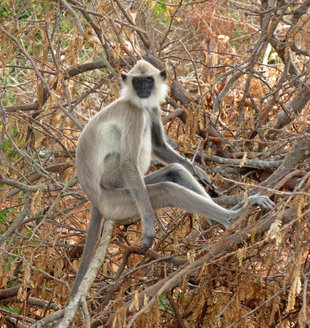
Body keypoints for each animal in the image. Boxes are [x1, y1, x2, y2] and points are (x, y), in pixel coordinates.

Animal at [71, 60, 274, 296]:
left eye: (148, 80)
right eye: (137, 81)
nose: (143, 89)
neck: (137, 102)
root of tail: (94, 198)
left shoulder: (151, 108)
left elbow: (160, 146)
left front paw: (200, 172)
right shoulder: (134, 114)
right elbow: (129, 162)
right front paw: (149, 226)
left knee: (174, 171)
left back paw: (222, 215)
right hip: (116, 200)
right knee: (165, 188)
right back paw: (231, 217)